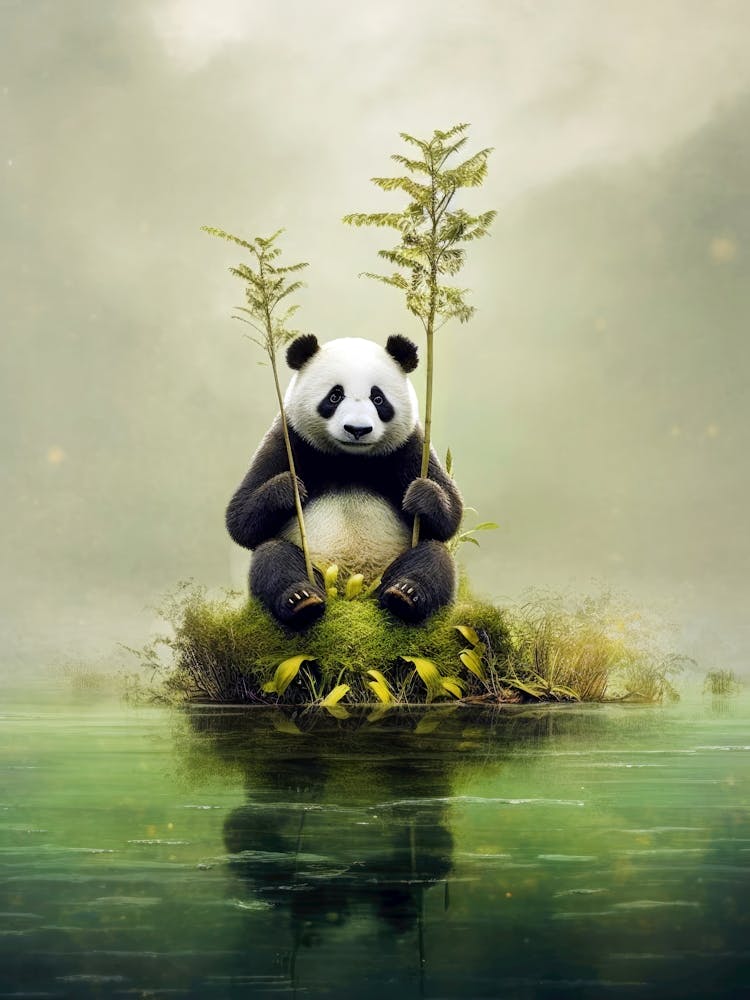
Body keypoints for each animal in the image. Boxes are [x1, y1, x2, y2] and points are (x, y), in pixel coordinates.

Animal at [226, 333, 463, 630]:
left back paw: (405, 594)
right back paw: (301, 599)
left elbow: (449, 517)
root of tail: (351, 593)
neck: (350, 461)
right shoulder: (287, 438)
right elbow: (241, 519)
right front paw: (289, 489)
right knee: (272, 556)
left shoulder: (411, 446)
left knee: (435, 557)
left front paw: (421, 494)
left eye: (378, 398)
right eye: (335, 396)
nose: (357, 430)